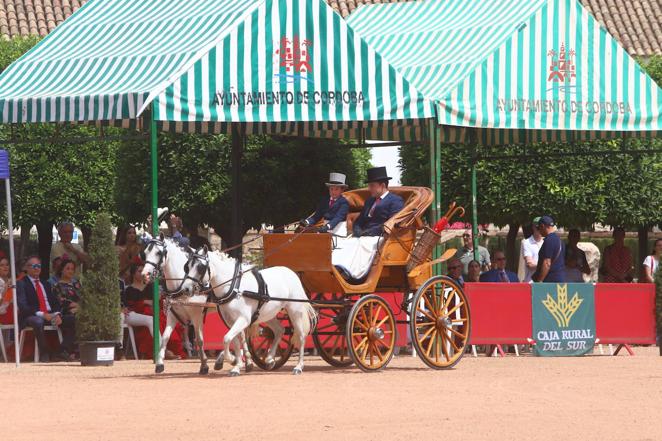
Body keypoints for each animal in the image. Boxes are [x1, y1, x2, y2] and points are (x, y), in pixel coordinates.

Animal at [141, 237, 254, 374]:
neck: (181, 283)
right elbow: (165, 338)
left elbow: (199, 340)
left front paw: (204, 365)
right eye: (145, 253)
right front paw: (159, 364)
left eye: (158, 253)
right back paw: (241, 361)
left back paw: (235, 360)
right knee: (240, 334)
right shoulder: (172, 316)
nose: (145, 274)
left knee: (240, 335)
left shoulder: (196, 316)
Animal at [180, 244, 318, 374]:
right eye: (187, 266)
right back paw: (270, 359)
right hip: (267, 314)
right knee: (279, 330)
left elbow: (226, 339)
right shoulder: (230, 320)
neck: (234, 286)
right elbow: (234, 341)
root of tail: (290, 272)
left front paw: (232, 360)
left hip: (295, 311)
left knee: (301, 335)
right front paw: (236, 365)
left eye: (200, 267)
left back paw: (298, 366)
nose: (185, 289)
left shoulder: (244, 319)